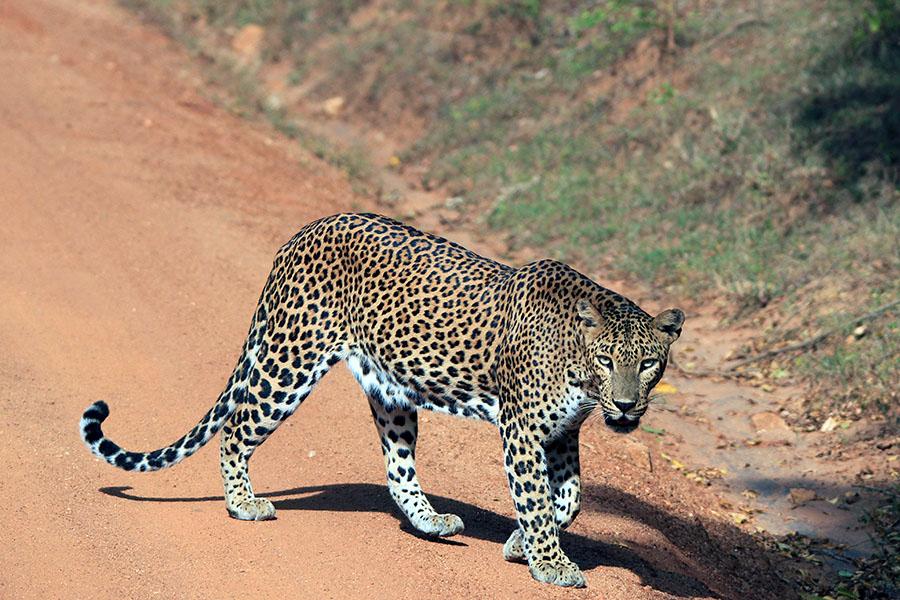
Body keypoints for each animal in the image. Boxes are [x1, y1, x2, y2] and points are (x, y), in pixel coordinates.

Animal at [80, 212, 684, 588]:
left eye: (648, 364)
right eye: (607, 360)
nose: (626, 406)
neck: (578, 368)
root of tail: (303, 232)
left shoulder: (562, 434)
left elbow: (571, 499)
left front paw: (521, 545)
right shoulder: (522, 429)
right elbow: (537, 499)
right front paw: (549, 563)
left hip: (391, 391)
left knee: (398, 468)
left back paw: (431, 520)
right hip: (290, 363)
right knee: (235, 429)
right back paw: (244, 504)